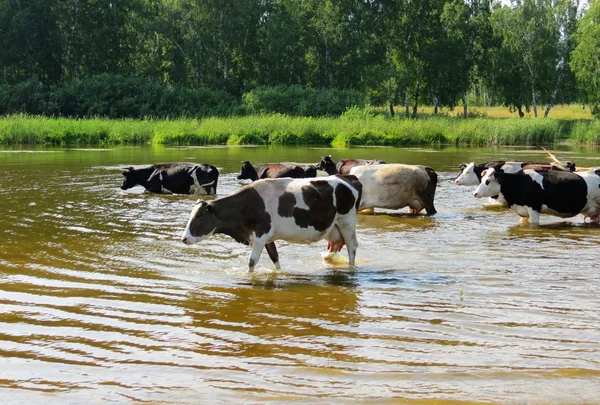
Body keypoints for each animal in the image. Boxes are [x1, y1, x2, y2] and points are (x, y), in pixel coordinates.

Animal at [180, 174, 364, 272]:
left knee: (352, 247)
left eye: (199, 216)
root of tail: (348, 177)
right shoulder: (267, 238)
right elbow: (275, 258)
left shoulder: (260, 235)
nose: (184, 238)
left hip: (347, 222)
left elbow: (252, 261)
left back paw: (351, 267)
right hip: (334, 228)